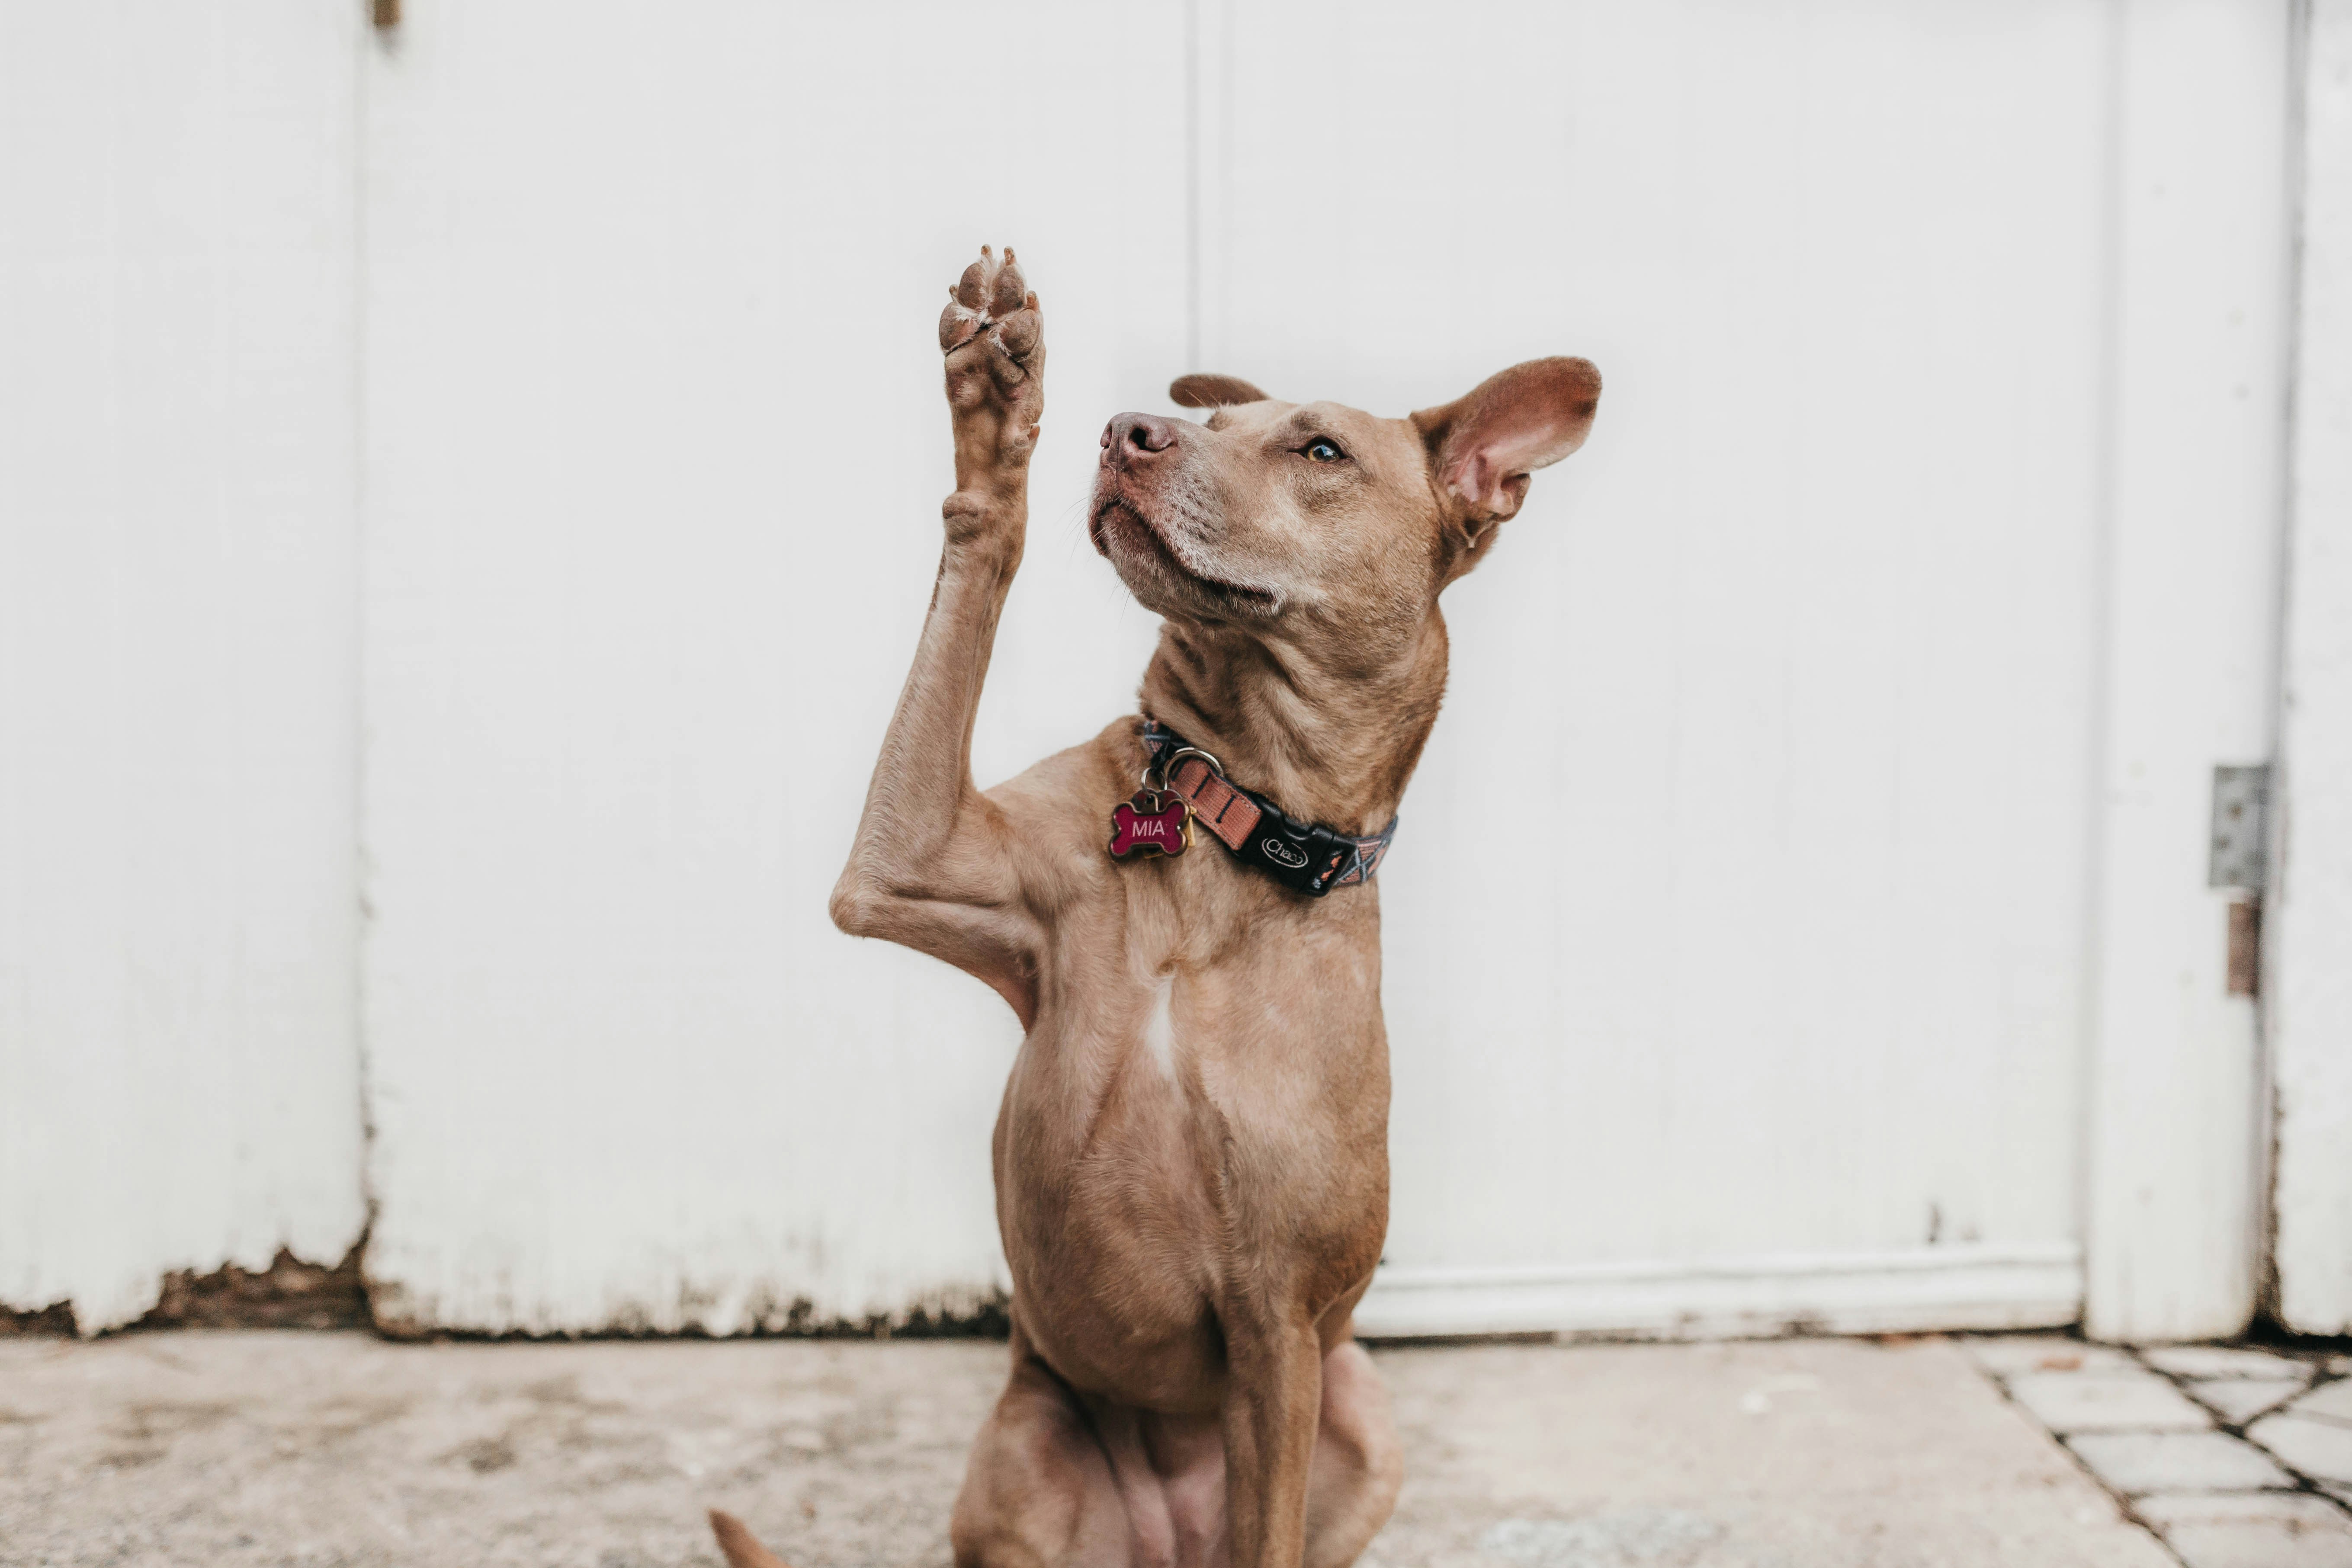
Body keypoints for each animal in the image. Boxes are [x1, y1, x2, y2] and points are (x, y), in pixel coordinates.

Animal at [715, 251, 1599, 1561]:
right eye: (1212, 424)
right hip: (1025, 1451)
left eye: (1319, 449)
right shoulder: (902, 860)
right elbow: (975, 561)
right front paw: (995, 410)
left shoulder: (1278, 1326)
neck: (1225, 821)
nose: (1127, 430)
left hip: (1359, 1412)